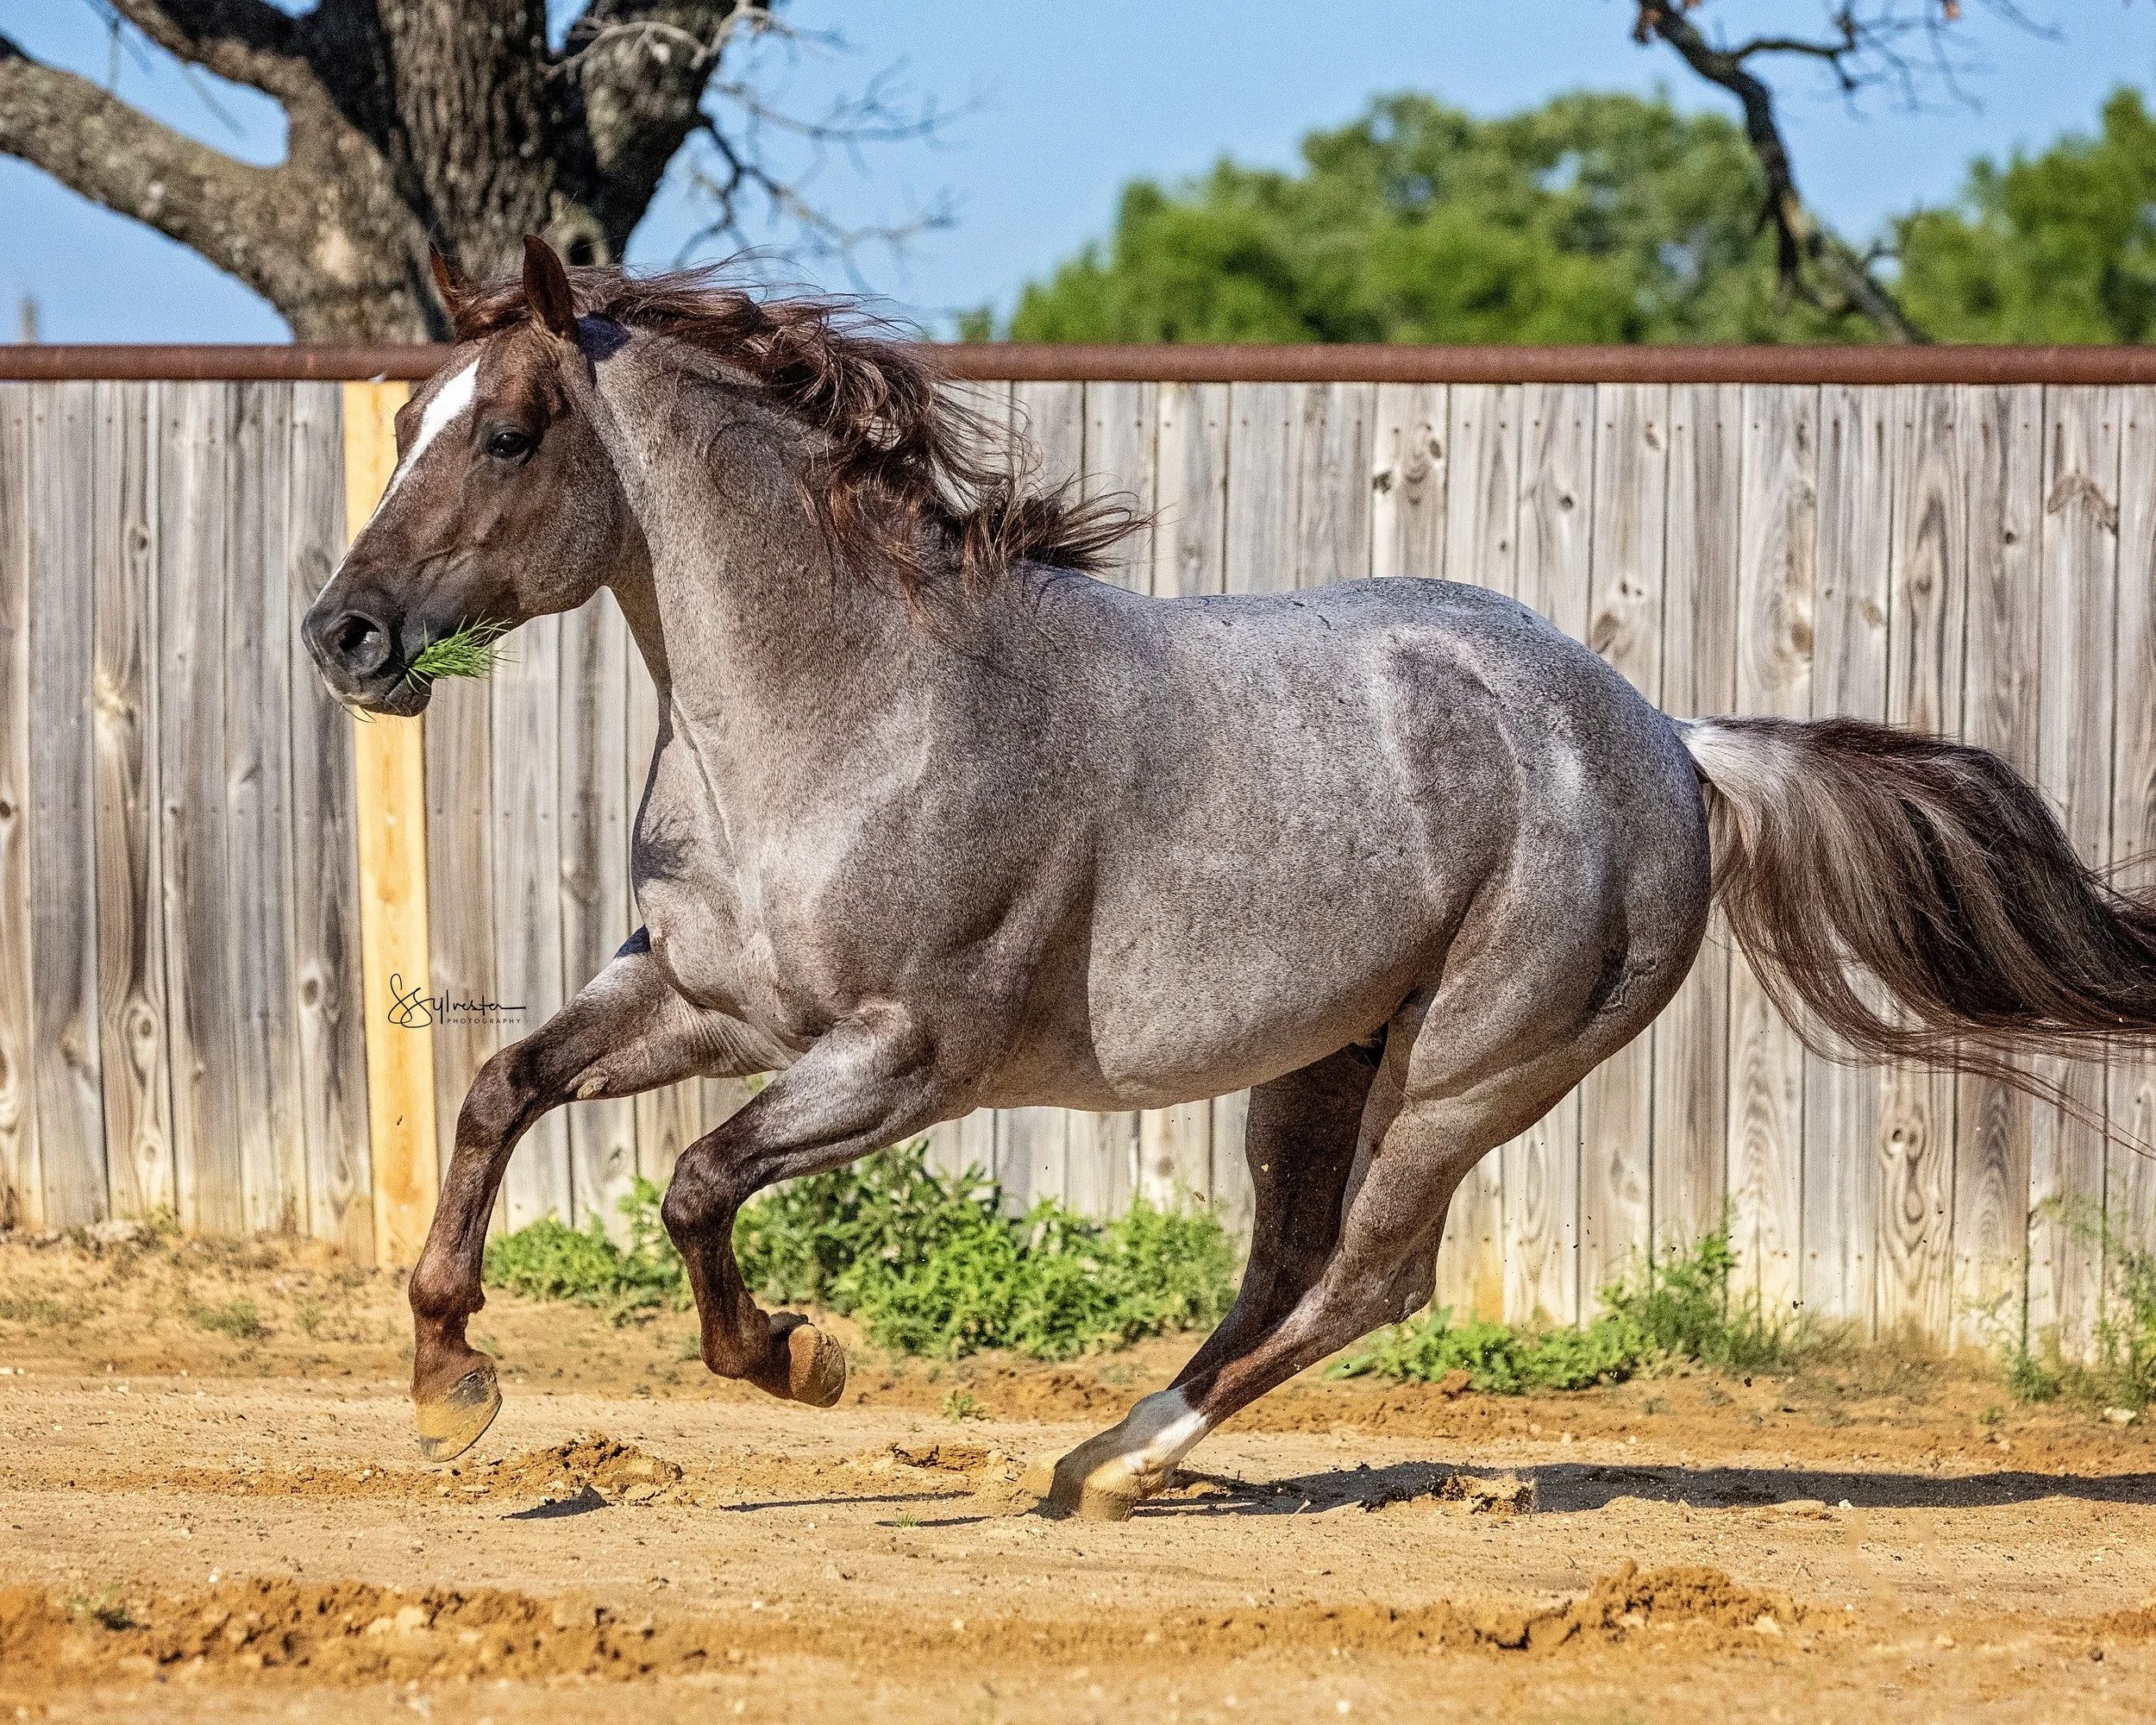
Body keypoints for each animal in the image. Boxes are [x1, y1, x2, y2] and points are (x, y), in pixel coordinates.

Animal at [304, 236, 2156, 1520]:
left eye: (512, 433)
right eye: (410, 419)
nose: (347, 635)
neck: (854, 706)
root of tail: (1668, 740)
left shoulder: (907, 1059)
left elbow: (695, 1183)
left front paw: (795, 1360)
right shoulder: (703, 999)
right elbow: (498, 1087)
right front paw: (449, 1377)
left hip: (1467, 1074)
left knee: (1371, 1276)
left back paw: (1116, 1466)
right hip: (1321, 1067)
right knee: (1289, 1264)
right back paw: (1103, 1456)